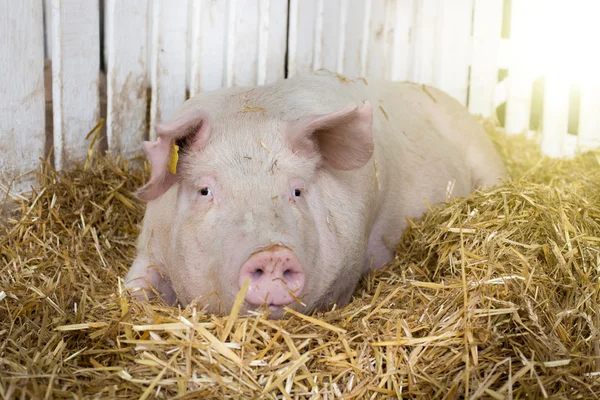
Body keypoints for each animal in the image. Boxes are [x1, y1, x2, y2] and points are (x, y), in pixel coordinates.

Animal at [125, 69, 506, 318]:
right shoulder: (150, 242)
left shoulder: (349, 265)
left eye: (297, 190)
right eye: (205, 190)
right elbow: (134, 286)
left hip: (487, 160)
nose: (272, 254)